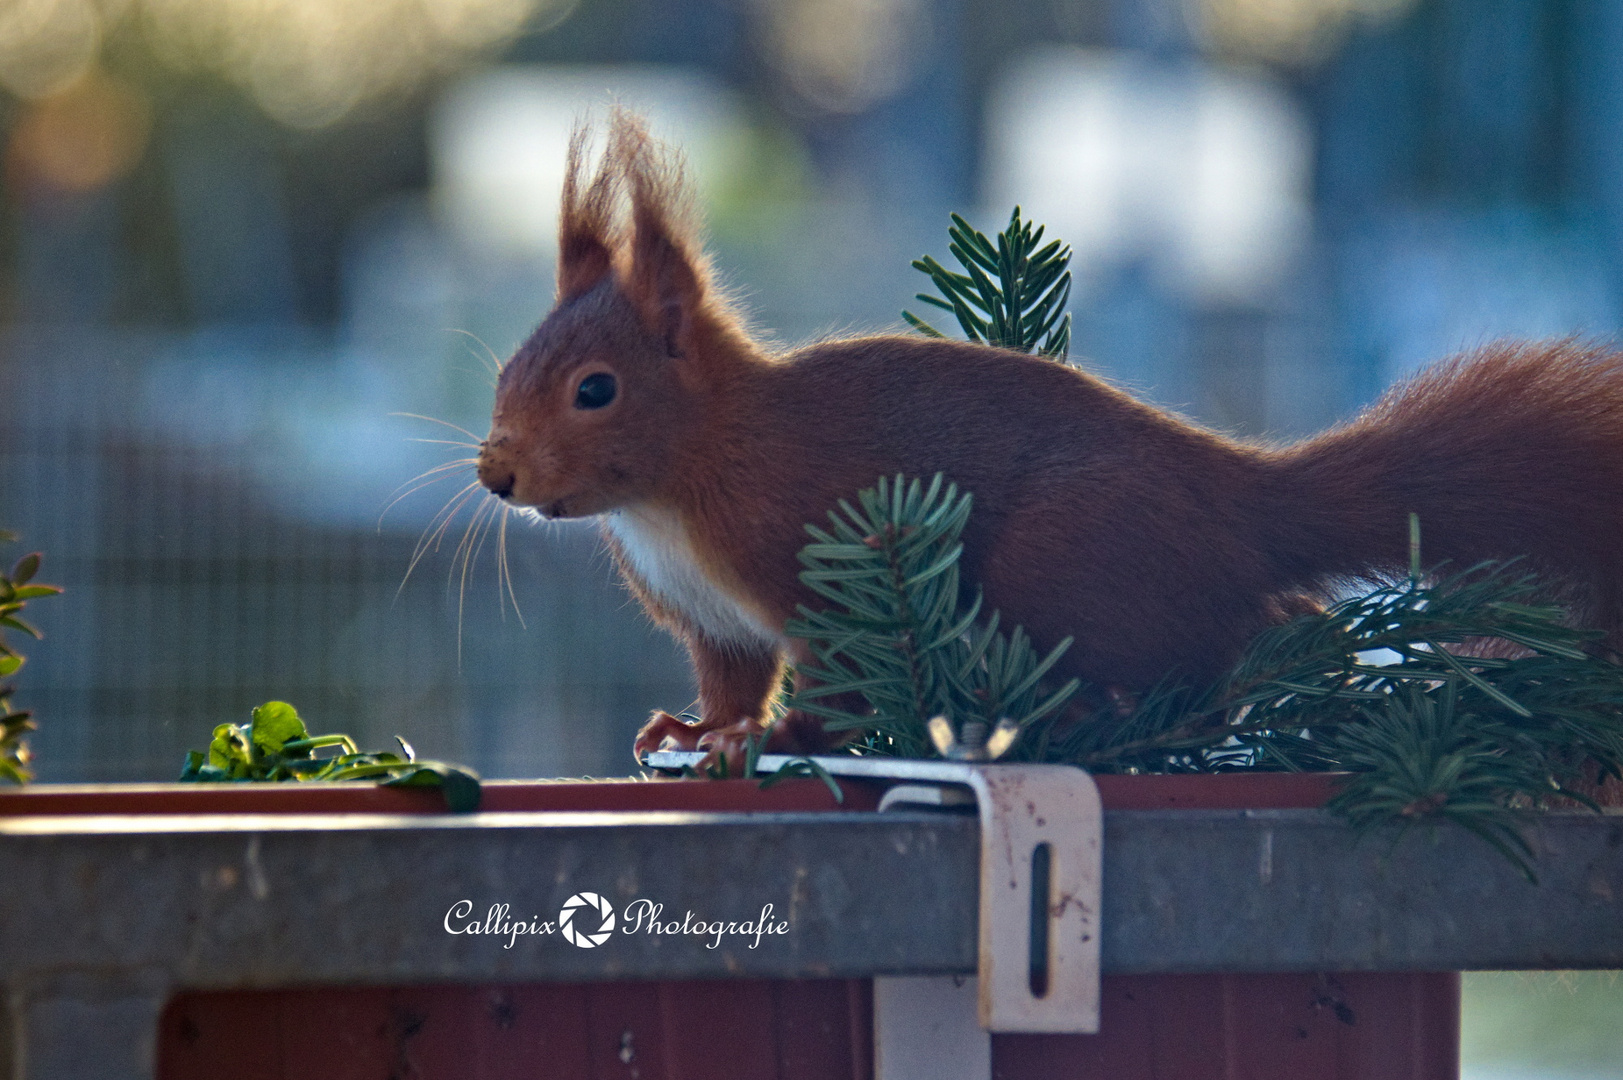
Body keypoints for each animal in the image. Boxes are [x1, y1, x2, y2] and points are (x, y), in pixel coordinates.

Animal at [473, 113, 1623, 763]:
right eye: (503, 374)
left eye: (595, 390)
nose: (498, 474)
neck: (679, 482)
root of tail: (1233, 497)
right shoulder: (714, 623)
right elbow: (729, 679)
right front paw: (701, 731)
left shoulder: (813, 554)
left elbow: (837, 680)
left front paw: (774, 739)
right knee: (1264, 631)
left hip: (1061, 562)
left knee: (1203, 668)